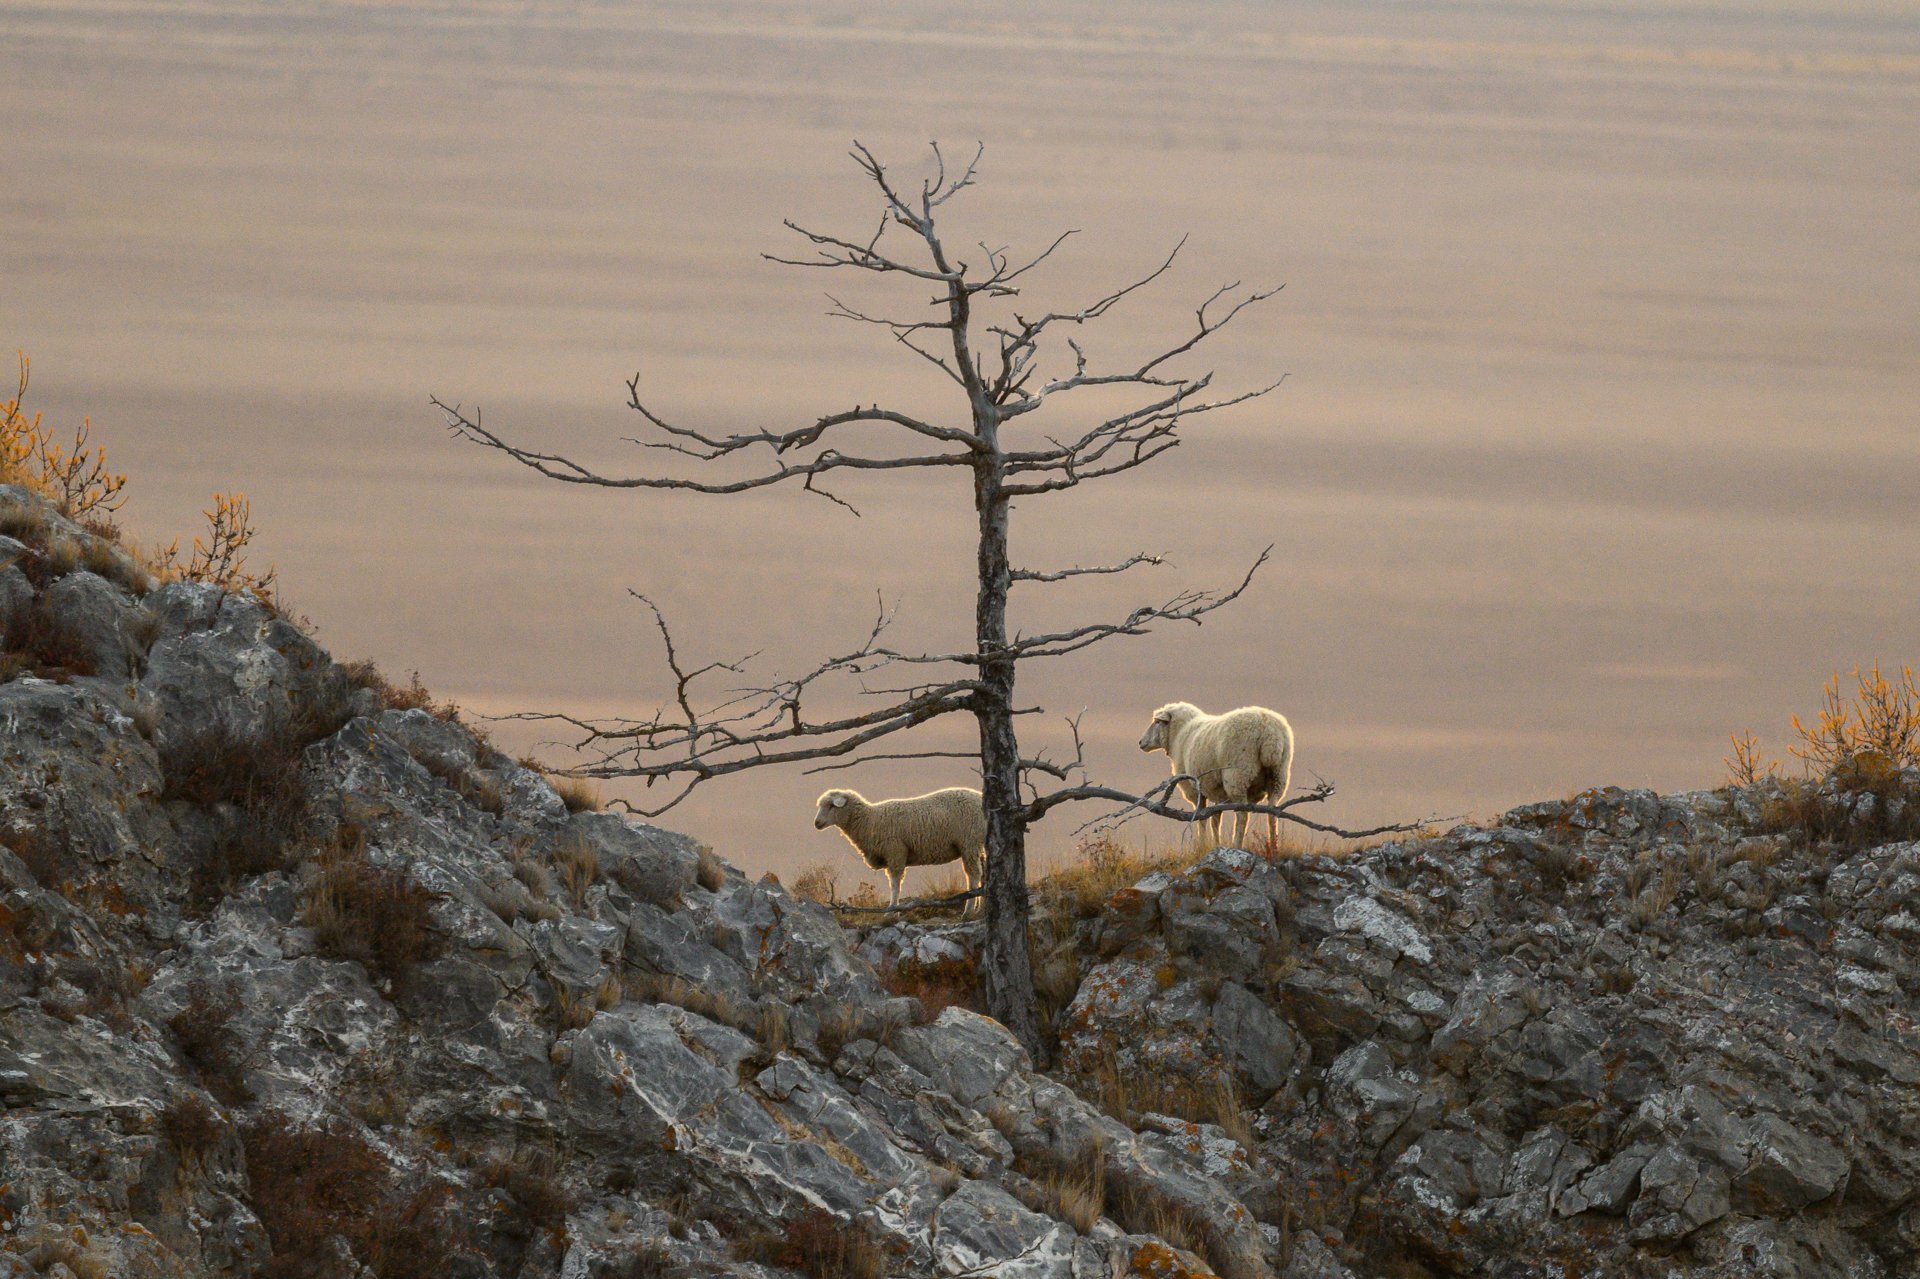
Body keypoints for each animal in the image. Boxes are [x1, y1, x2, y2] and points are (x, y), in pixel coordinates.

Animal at [814, 783, 990, 910]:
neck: (869, 820)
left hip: (969, 842)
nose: (816, 823)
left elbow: (895, 884)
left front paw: (892, 910)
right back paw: (981, 908)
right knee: (983, 873)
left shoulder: (895, 852)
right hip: (977, 844)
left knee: (974, 874)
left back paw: (969, 910)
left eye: (831, 806)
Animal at [1128, 699, 1297, 844]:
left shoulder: (1194, 788)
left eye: (1157, 722)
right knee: (1273, 813)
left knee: (1242, 815)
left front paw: (1202, 844)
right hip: (1278, 776)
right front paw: (1215, 843)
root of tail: (1270, 733)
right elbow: (1215, 818)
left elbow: (1201, 817)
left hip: (1237, 777)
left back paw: (1236, 844)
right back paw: (1273, 845)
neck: (1181, 732)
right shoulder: (1217, 791)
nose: (1141, 743)